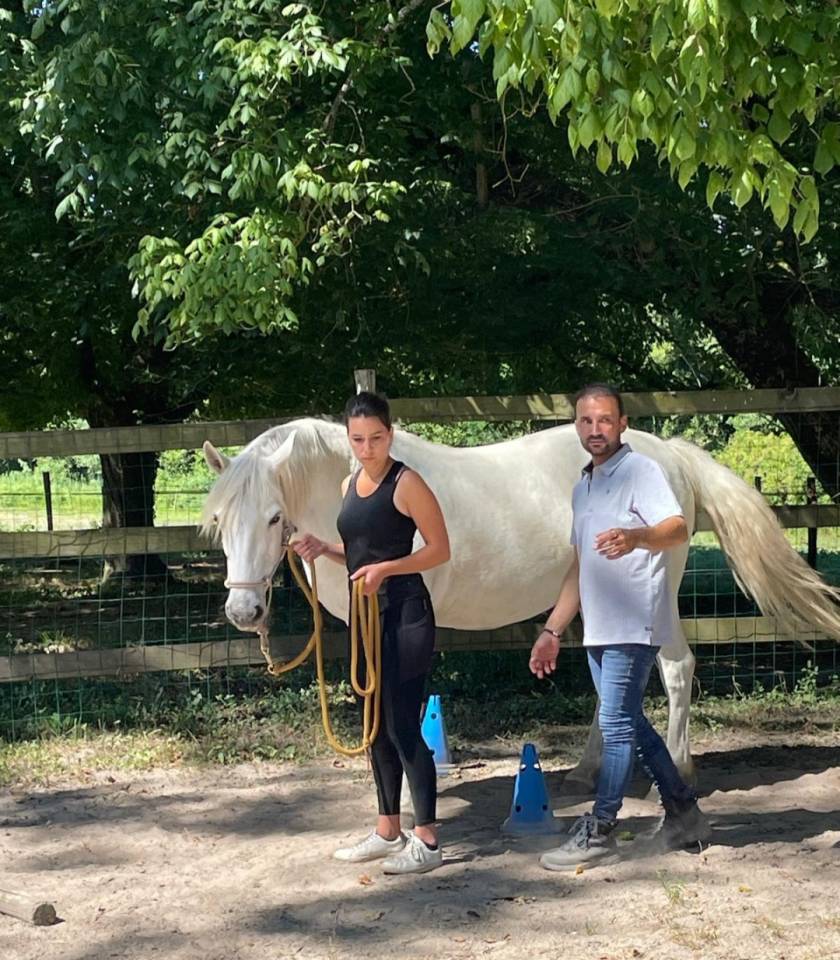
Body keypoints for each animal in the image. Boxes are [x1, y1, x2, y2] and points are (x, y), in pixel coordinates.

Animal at [202, 418, 840, 787]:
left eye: (273, 517)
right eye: (221, 521)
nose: (244, 614)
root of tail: (671, 455)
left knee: (677, 668)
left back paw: (679, 768)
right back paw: (587, 771)